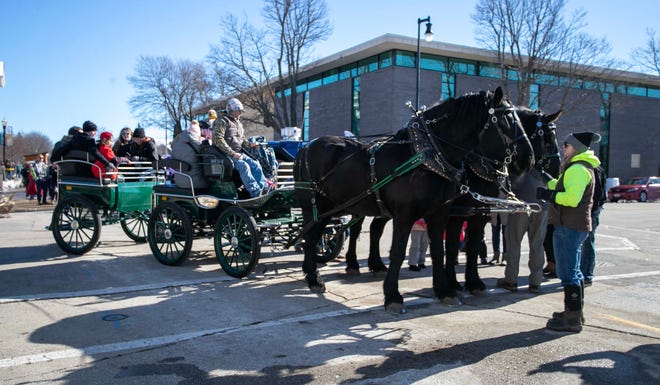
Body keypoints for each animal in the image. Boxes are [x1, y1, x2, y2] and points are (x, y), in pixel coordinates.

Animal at [292, 86, 532, 312]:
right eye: (507, 119)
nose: (527, 158)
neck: (427, 155)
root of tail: (307, 145)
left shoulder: (442, 213)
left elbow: (440, 251)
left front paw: (445, 290)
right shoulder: (406, 215)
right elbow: (399, 252)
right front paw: (393, 296)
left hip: (332, 208)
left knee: (322, 234)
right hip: (315, 206)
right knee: (312, 238)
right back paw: (315, 278)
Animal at [444, 106, 564, 292]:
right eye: (549, 140)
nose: (558, 170)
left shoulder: (480, 213)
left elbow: (473, 246)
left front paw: (472, 282)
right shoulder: (457, 213)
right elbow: (451, 246)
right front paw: (451, 281)